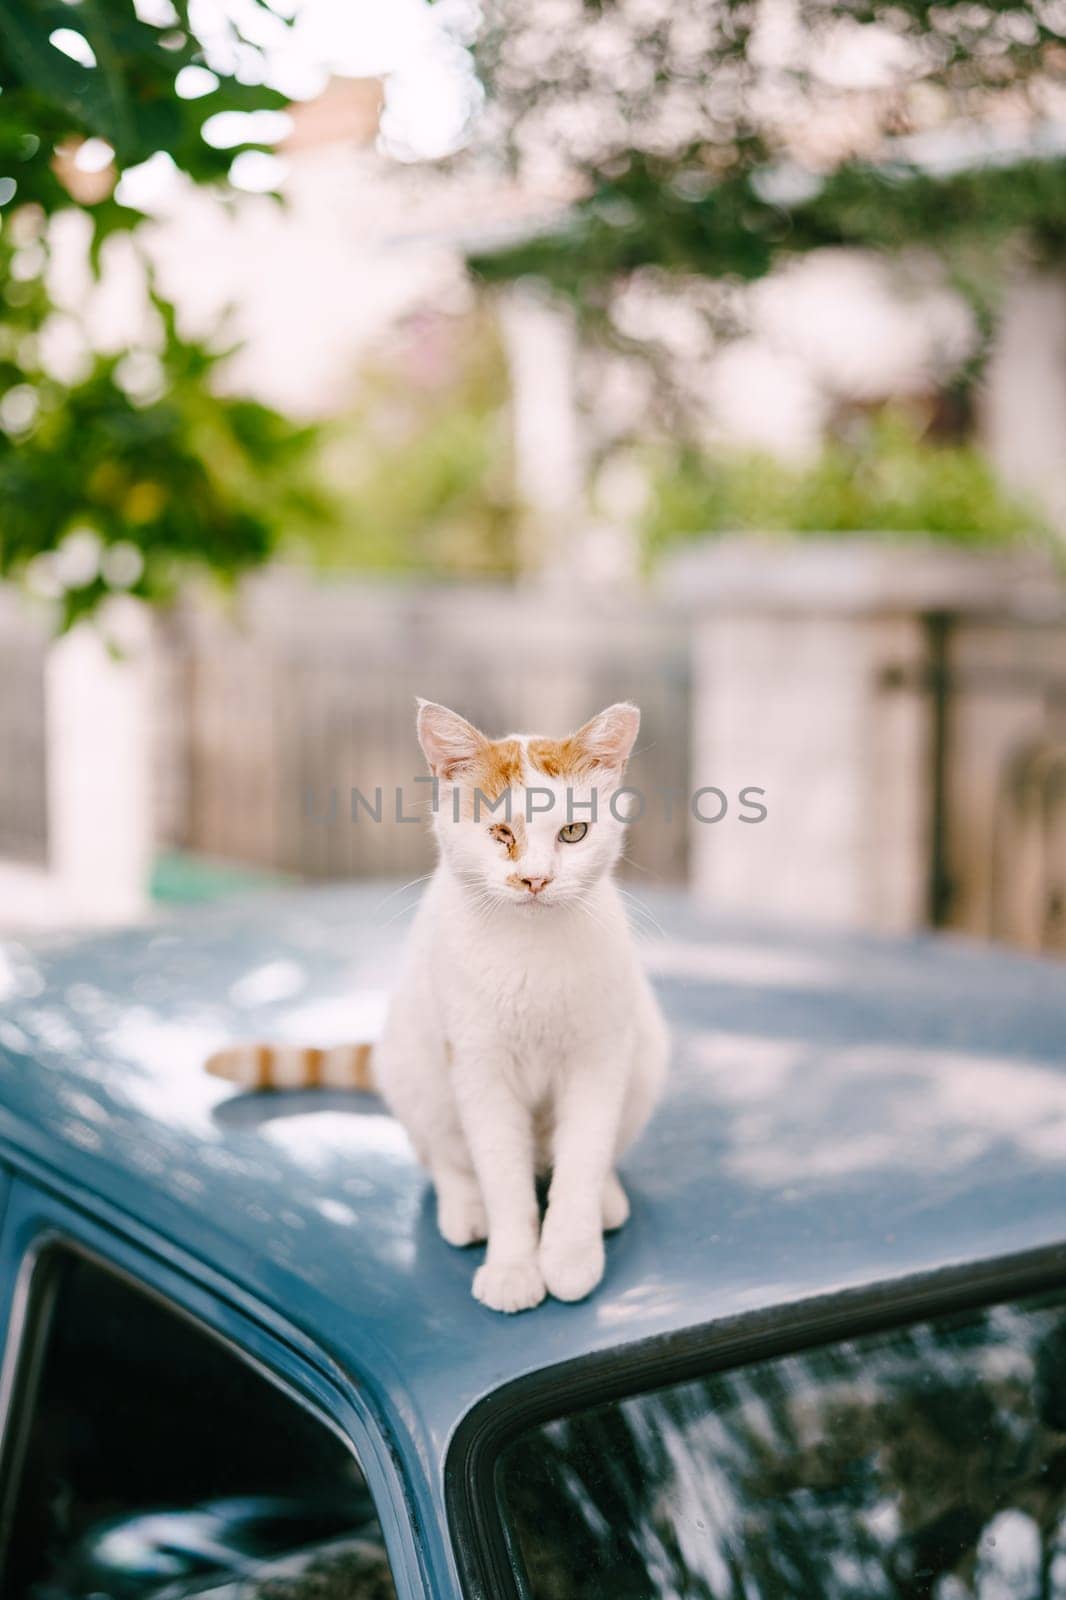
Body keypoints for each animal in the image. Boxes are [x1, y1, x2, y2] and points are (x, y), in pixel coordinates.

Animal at [208, 700, 665, 1312]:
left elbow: (583, 1159)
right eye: (500, 832)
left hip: (645, 1053)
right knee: (444, 1157)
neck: (530, 947)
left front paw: (570, 1254)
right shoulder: (477, 1067)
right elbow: (502, 1176)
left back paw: (606, 1202)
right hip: (413, 1068)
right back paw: (465, 1208)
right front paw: (514, 1265)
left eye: (573, 832)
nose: (535, 879)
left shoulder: (598, 1059)